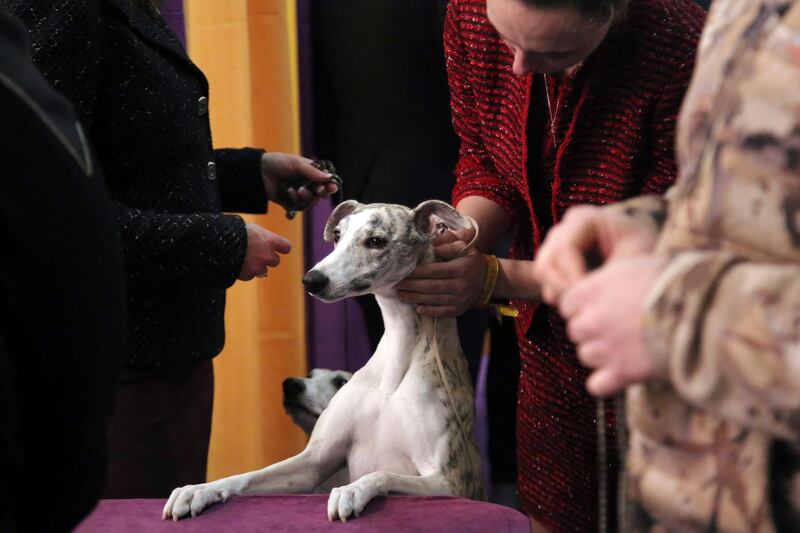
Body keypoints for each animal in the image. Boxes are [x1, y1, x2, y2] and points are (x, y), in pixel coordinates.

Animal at [163, 200, 484, 520]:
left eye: (375, 241)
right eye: (338, 234)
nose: (311, 280)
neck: (396, 365)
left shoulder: (450, 481)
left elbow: (382, 474)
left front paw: (351, 490)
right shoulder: (312, 462)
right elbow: (249, 475)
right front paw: (198, 489)